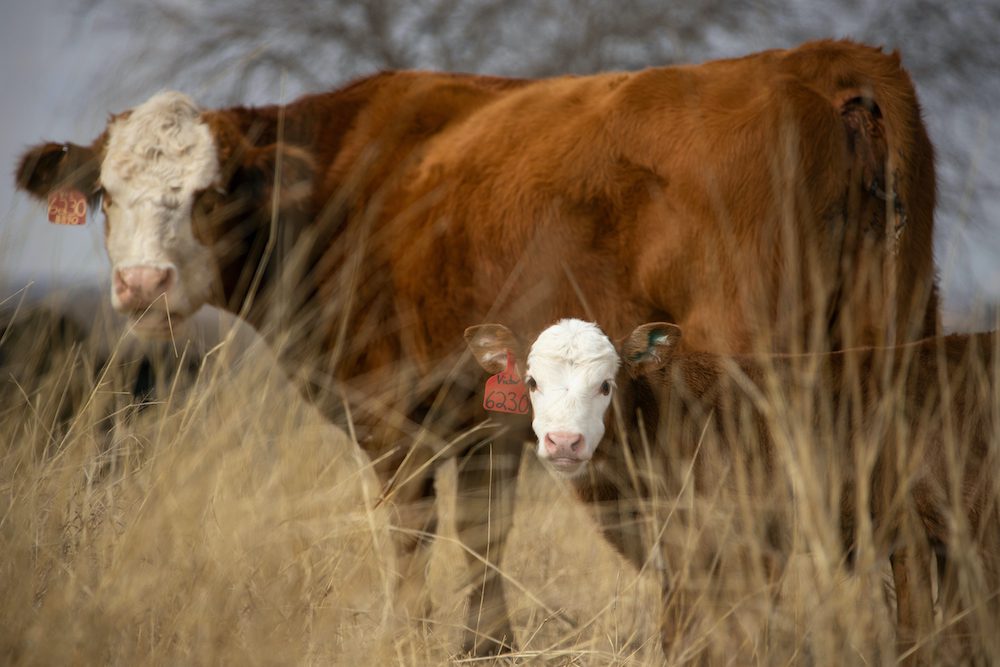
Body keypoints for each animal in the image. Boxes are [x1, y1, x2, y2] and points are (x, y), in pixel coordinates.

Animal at [13, 39, 936, 656]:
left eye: (209, 193)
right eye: (106, 193)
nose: (142, 285)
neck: (353, 181)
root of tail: (824, 63)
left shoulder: (389, 411)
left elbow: (408, 536)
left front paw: (404, 640)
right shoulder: (490, 420)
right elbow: (484, 533)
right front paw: (486, 645)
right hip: (894, 362)